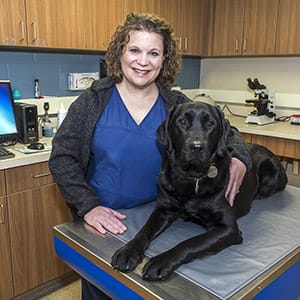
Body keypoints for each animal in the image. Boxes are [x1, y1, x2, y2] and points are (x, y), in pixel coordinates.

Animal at [110, 101, 288, 282]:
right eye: (181, 122)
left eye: (210, 124)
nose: (196, 147)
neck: (192, 177)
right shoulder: (163, 209)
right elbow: (144, 230)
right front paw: (128, 251)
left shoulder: (228, 228)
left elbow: (190, 243)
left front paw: (160, 262)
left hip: (270, 170)